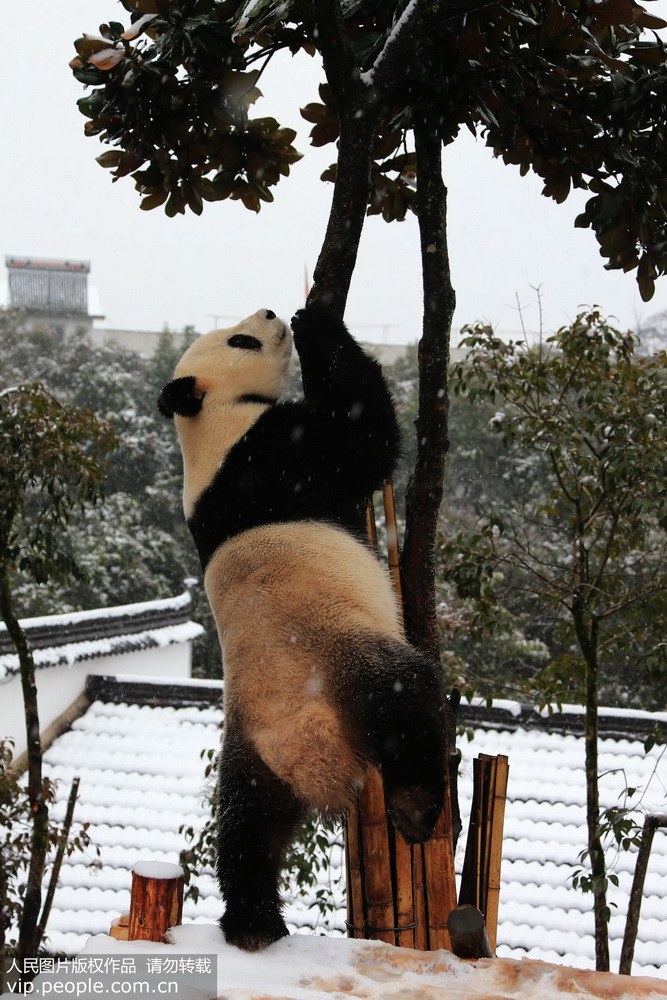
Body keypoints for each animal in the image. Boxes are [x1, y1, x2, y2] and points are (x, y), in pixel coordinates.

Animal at [159, 302, 446, 952]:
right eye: (239, 340)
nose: (267, 313)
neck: (205, 421)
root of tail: (307, 750)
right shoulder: (274, 449)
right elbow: (364, 439)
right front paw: (314, 321)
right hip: (346, 656)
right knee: (407, 700)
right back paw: (416, 806)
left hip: (248, 754)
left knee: (244, 835)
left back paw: (253, 924)